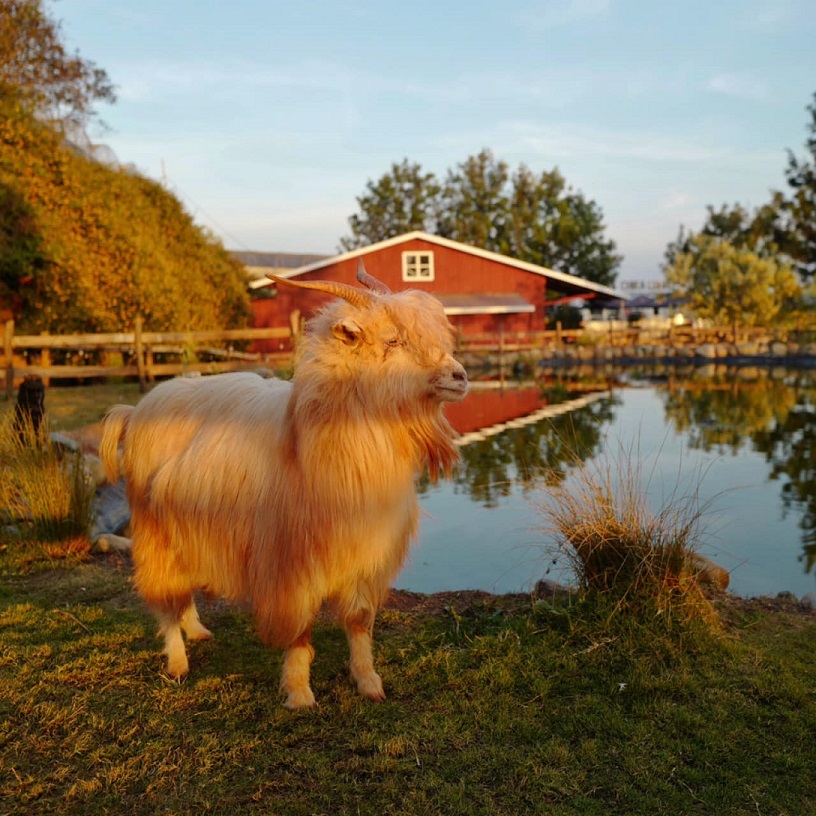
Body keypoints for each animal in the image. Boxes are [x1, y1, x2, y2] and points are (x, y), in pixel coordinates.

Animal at [99, 266, 468, 708]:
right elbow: (299, 631)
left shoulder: (364, 552)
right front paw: (299, 692)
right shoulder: (288, 561)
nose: (460, 377)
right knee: (164, 598)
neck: (312, 445)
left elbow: (359, 621)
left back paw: (198, 631)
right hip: (155, 530)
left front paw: (368, 682)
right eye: (393, 340)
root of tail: (138, 408)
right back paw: (177, 661)